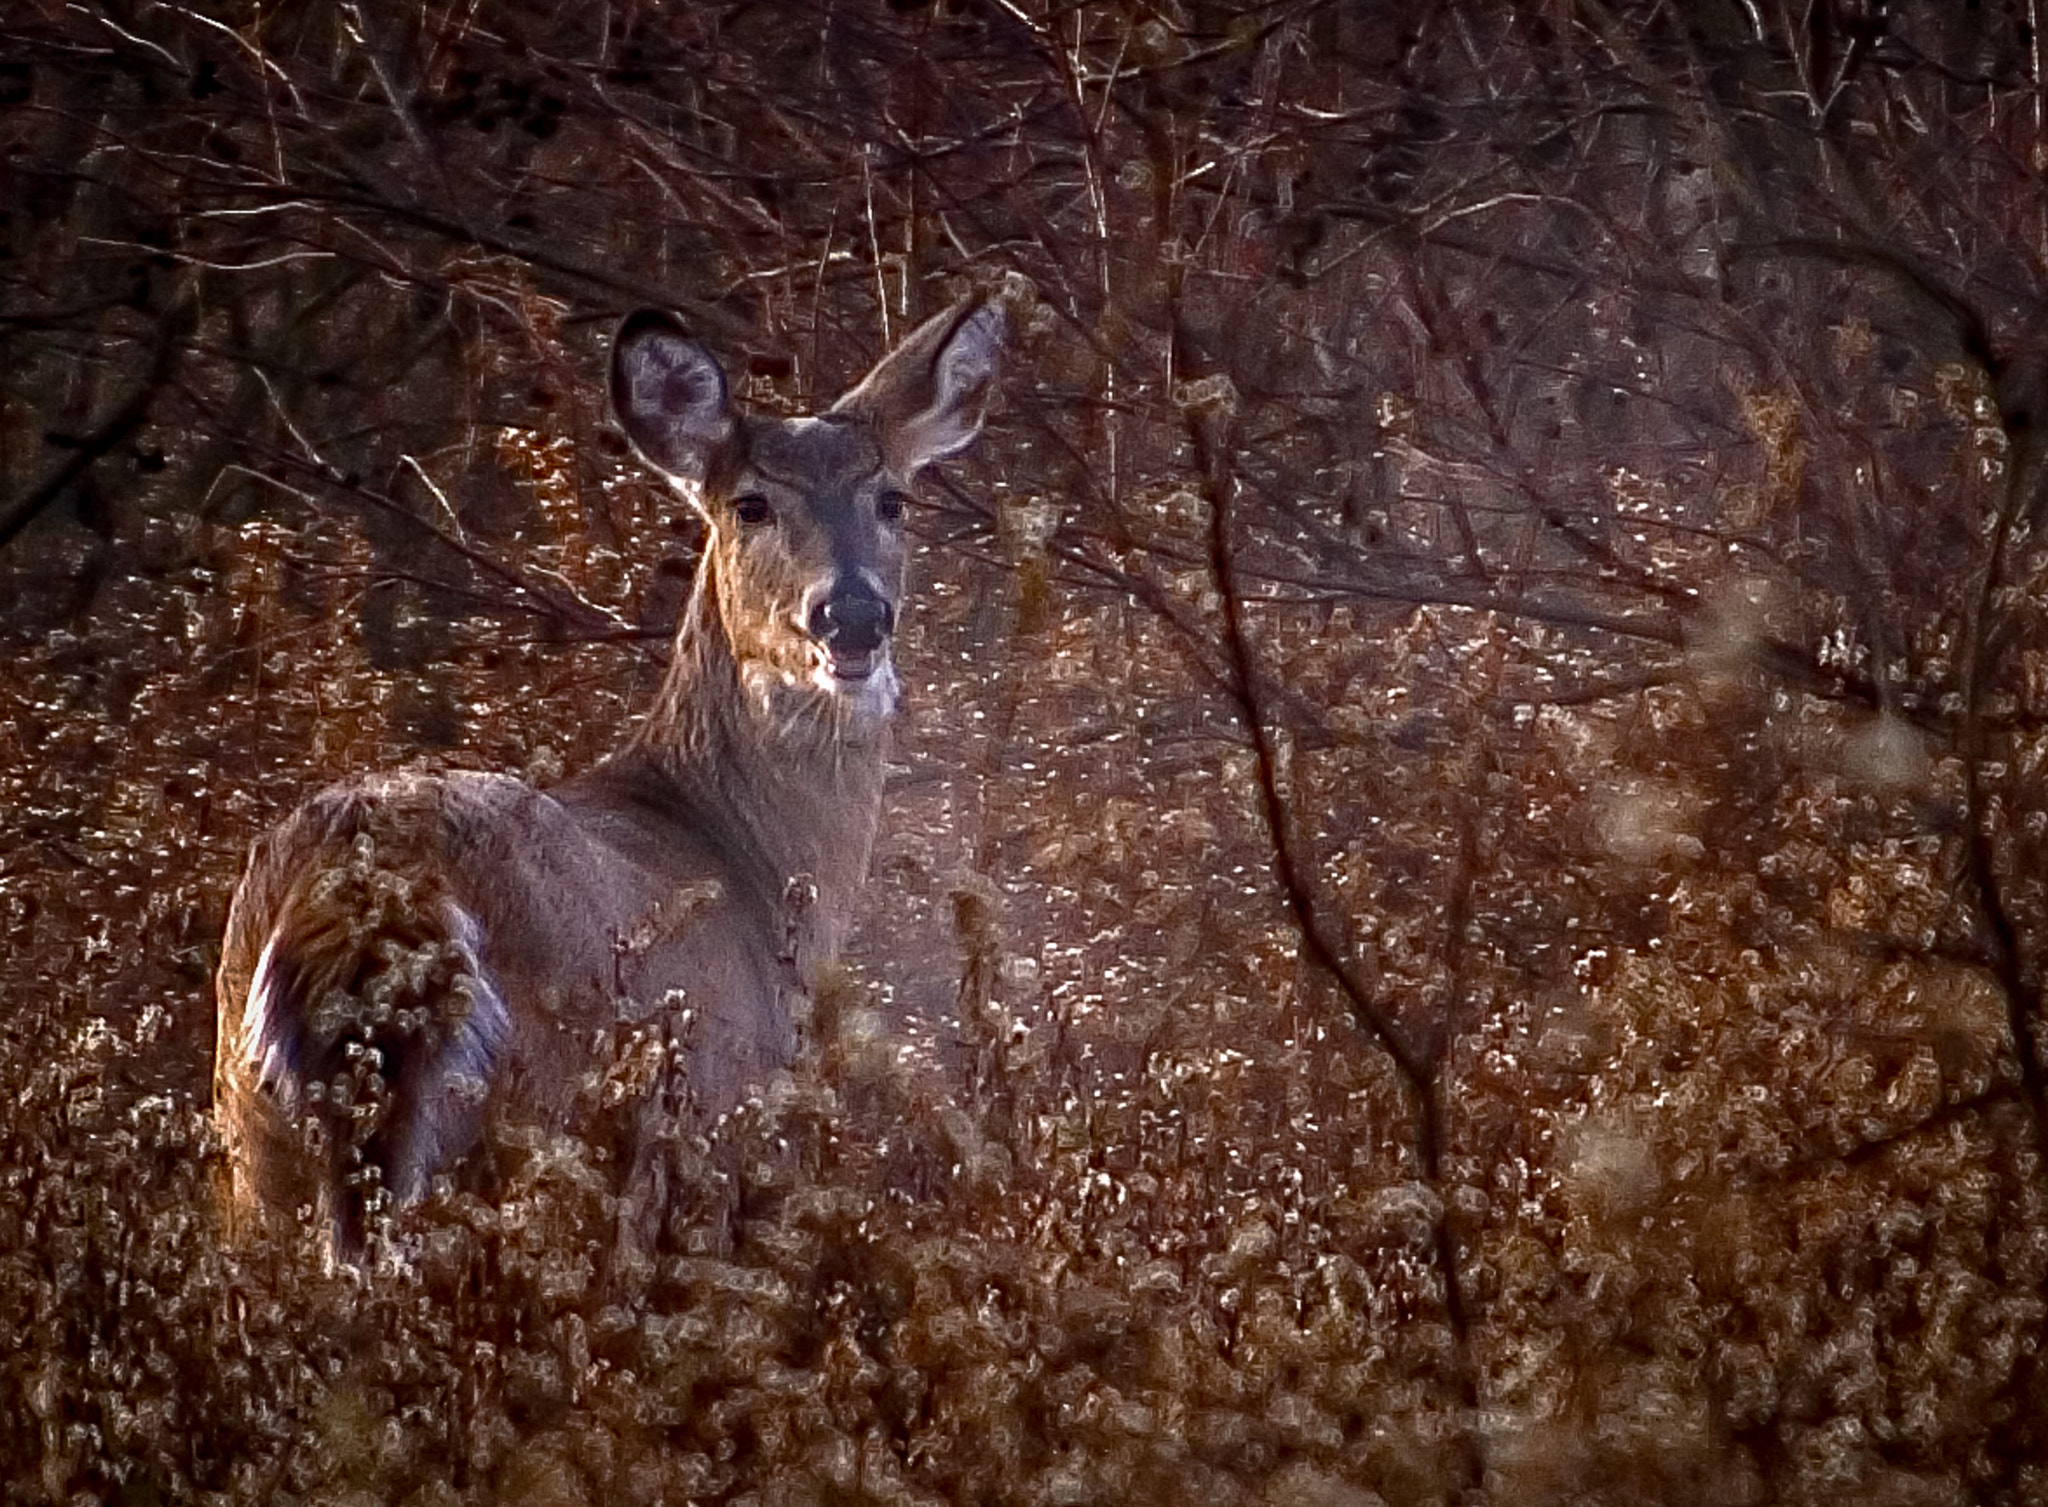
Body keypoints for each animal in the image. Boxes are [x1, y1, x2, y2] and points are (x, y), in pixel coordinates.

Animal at [216, 294, 1007, 1261]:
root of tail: (361, 893)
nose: (851, 614)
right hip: (544, 1119)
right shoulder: (725, 1133)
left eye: (893, 499)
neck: (737, 855)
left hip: (250, 1138)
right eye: (751, 504)